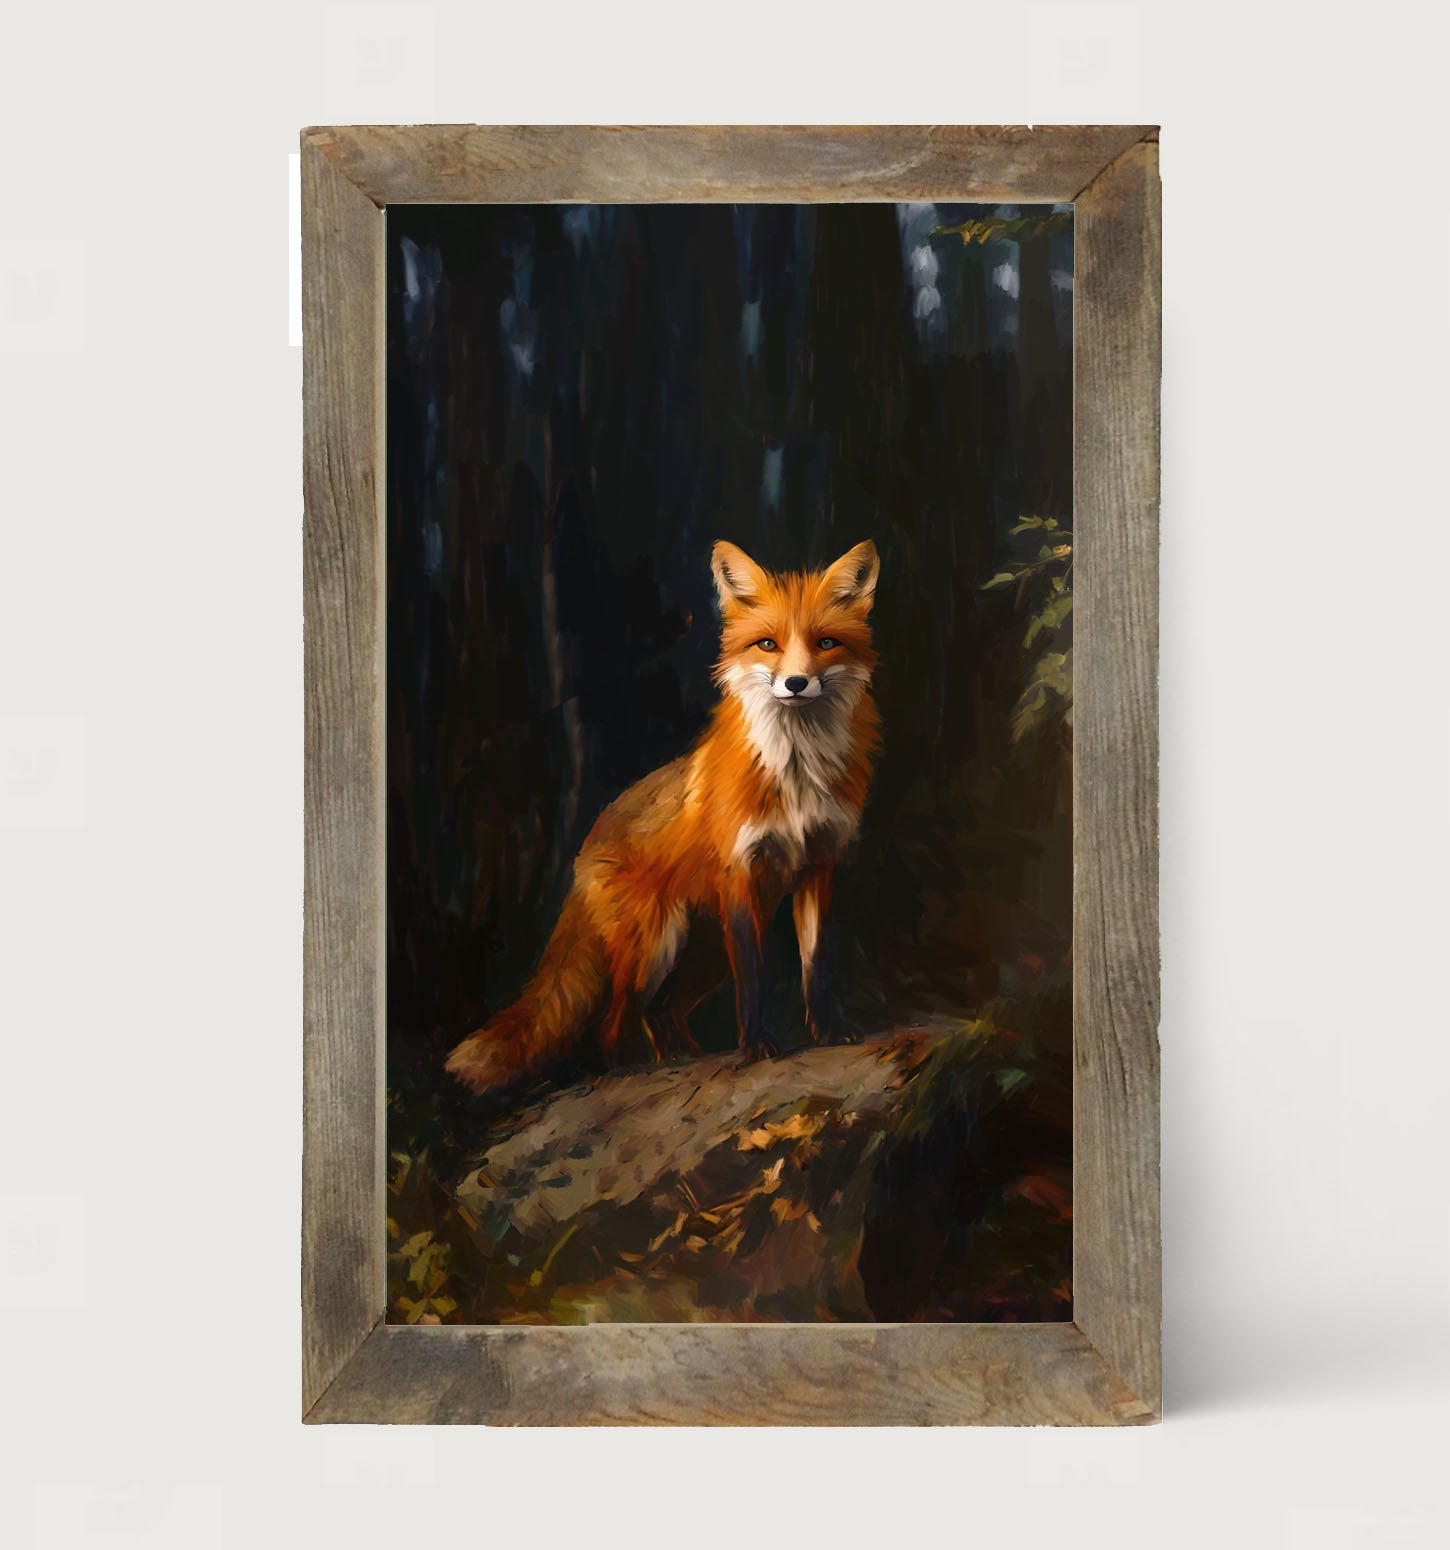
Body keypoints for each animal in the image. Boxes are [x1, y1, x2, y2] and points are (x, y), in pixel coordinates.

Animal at [445, 538, 882, 1095]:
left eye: (825, 642)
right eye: (767, 644)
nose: (797, 682)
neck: (797, 772)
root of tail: (585, 845)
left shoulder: (818, 865)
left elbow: (815, 965)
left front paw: (827, 1031)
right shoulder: (740, 873)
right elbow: (755, 981)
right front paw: (757, 1046)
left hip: (707, 951)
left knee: (662, 1013)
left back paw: (681, 1060)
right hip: (656, 946)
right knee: (613, 1024)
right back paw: (630, 1071)